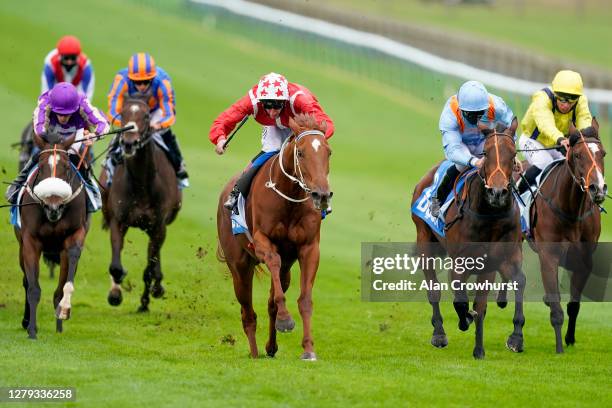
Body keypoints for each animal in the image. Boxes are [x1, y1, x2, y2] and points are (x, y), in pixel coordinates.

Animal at [15, 132, 88, 340]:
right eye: (40, 167)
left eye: (66, 167)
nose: (53, 206)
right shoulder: (30, 241)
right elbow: (32, 288)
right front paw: (32, 330)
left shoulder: (74, 235)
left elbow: (65, 283)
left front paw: (64, 310)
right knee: (25, 281)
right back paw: (26, 321)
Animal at [100, 99, 182, 312]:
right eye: (122, 114)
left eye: (146, 116)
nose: (129, 143)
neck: (142, 184)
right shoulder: (118, 221)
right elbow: (116, 266)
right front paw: (115, 293)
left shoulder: (158, 224)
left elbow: (149, 268)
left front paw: (145, 302)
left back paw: (157, 287)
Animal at [218, 113, 332, 358]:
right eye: (301, 153)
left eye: (328, 152)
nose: (322, 194)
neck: (290, 196)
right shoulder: (263, 241)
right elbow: (273, 262)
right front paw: (286, 320)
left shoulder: (309, 248)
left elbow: (304, 300)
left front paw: (308, 349)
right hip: (239, 267)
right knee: (248, 313)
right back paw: (254, 353)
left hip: (286, 271)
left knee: (271, 302)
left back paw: (270, 347)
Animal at [408, 119, 524, 358]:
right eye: (486, 153)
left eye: (513, 153)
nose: (497, 193)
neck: (489, 215)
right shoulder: (459, 263)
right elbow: (460, 301)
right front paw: (465, 320)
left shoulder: (495, 260)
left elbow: (481, 304)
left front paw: (482, 348)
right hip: (424, 240)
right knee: (433, 290)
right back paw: (439, 333)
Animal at [524, 117, 608, 350]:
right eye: (578, 155)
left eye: (603, 153)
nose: (598, 189)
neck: (570, 210)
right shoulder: (549, 257)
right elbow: (556, 308)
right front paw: (560, 346)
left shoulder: (584, 260)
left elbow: (573, 305)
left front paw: (570, 339)